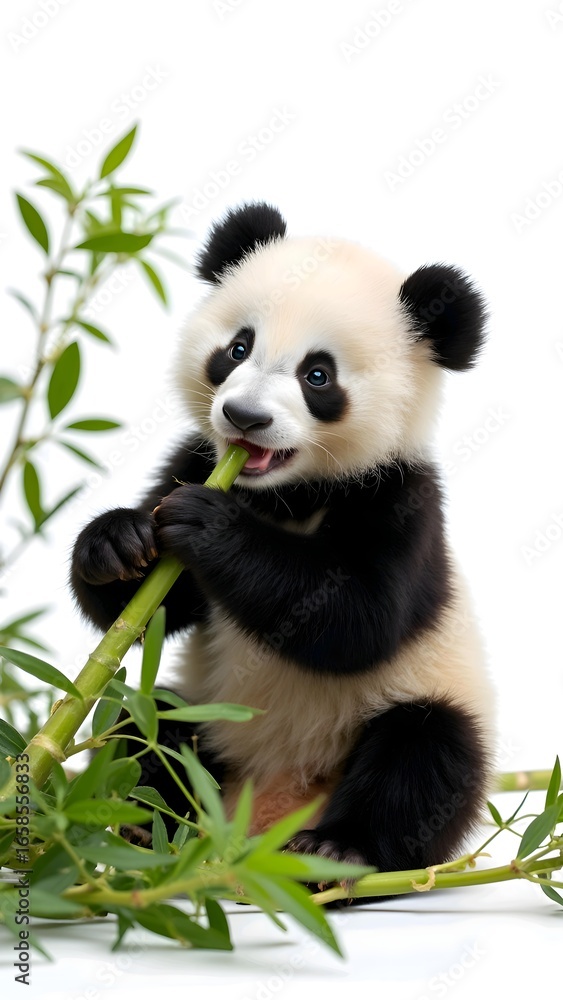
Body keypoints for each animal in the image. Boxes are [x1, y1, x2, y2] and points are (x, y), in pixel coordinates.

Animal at [71, 201, 496, 882]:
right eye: (238, 347)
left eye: (317, 375)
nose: (244, 417)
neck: (286, 493)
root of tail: (262, 816)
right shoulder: (195, 457)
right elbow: (152, 610)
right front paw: (117, 543)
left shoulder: (403, 502)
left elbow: (358, 618)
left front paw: (213, 528)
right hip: (206, 723)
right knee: (144, 724)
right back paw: (147, 831)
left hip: (420, 702)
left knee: (425, 753)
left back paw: (338, 851)